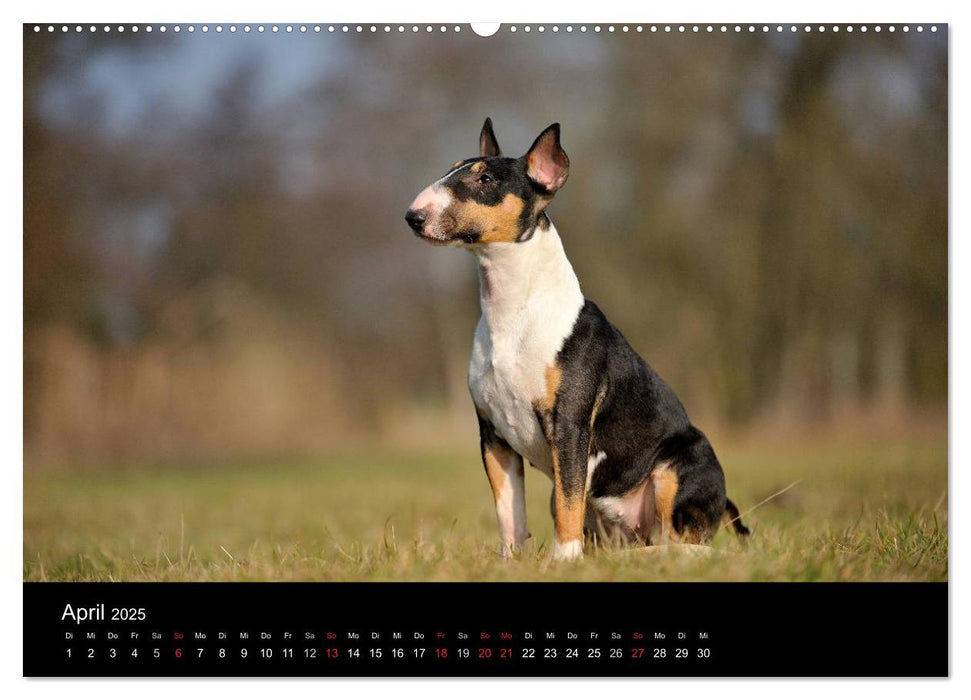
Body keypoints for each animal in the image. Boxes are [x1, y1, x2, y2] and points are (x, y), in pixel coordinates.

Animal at [406, 117, 748, 560]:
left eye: (485, 178)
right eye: (451, 169)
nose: (413, 217)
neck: (513, 313)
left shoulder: (570, 425)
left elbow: (569, 501)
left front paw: (565, 559)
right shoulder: (494, 438)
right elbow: (509, 511)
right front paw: (510, 562)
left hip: (679, 468)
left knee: (685, 546)